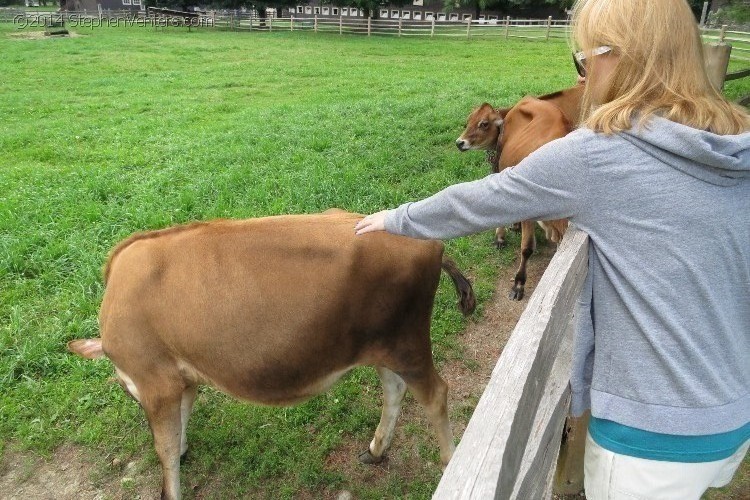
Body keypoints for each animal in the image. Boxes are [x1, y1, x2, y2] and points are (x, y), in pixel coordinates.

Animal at [66, 209, 476, 498]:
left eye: (128, 389)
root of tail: (429, 243)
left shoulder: (156, 382)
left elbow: (163, 448)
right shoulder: (181, 376)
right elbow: (182, 420)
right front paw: (183, 449)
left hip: (408, 343)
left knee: (435, 395)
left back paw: (449, 461)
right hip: (384, 344)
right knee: (394, 390)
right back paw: (375, 450)